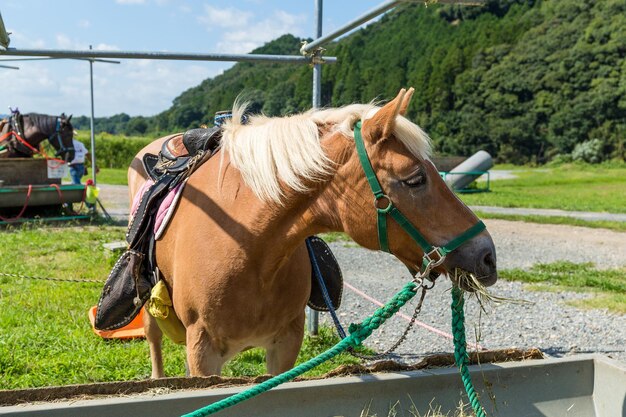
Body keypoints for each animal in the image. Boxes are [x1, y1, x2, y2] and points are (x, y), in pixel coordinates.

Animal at [128, 88, 498, 376]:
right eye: (415, 179)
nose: (487, 256)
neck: (248, 246)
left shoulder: (285, 345)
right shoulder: (203, 351)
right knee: (154, 342)